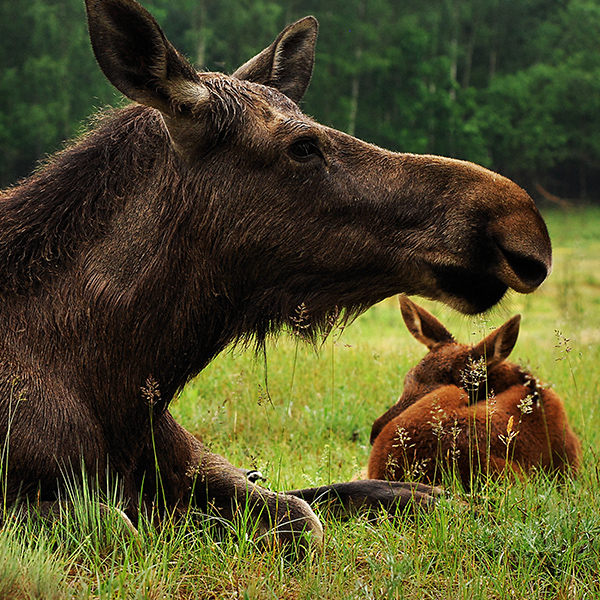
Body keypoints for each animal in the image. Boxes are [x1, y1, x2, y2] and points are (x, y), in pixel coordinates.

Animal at [0, 0, 552, 548]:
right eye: (303, 145)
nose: (520, 225)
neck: (118, 391)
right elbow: (123, 524)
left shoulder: (197, 463)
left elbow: (315, 509)